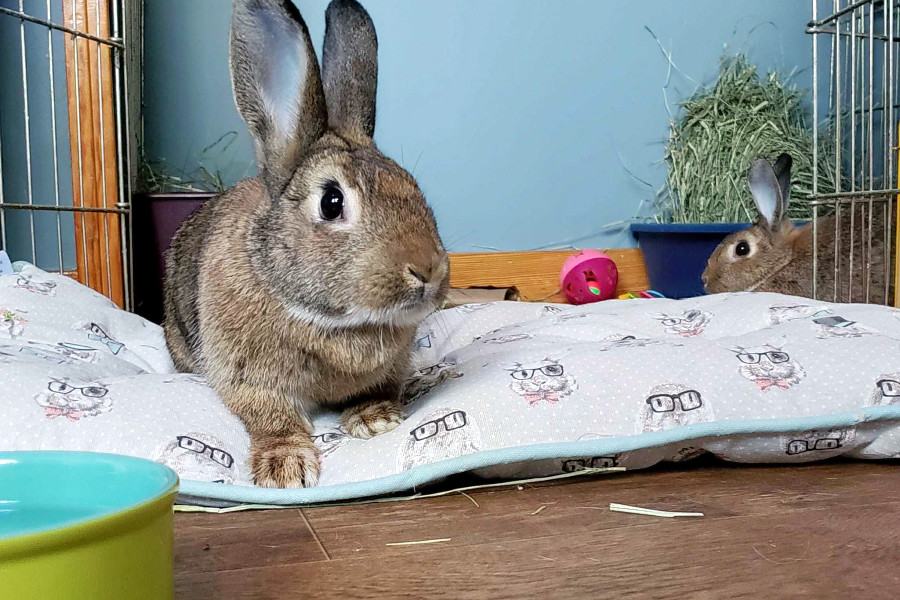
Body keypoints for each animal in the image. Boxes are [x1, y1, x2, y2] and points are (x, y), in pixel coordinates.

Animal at [163, 0, 449, 488]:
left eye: (412, 185)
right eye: (332, 202)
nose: (428, 270)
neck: (334, 323)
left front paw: (376, 418)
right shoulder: (249, 380)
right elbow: (273, 417)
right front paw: (286, 468)